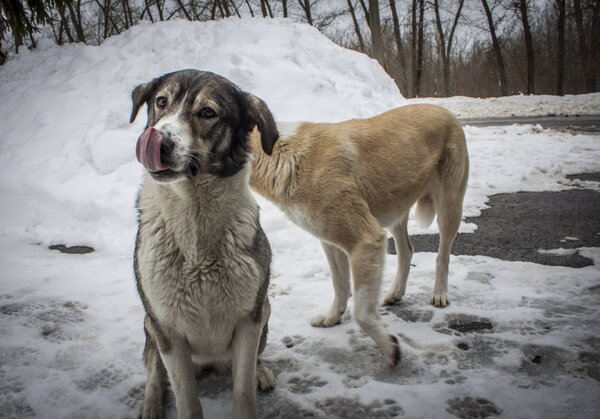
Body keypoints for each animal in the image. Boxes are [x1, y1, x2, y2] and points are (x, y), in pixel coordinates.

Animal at [129, 69, 278, 419]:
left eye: (208, 112)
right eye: (161, 102)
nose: (159, 142)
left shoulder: (248, 321)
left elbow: (243, 392)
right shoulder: (166, 330)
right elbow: (188, 400)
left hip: (264, 309)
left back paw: (261, 371)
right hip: (149, 326)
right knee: (153, 370)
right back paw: (151, 404)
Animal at [248, 104, 468, 368]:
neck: (284, 156)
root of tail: (444, 109)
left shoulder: (366, 239)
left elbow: (362, 311)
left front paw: (389, 347)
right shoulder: (331, 243)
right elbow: (340, 285)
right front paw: (333, 316)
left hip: (448, 207)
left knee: (442, 256)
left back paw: (439, 293)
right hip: (396, 211)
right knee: (407, 250)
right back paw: (396, 292)